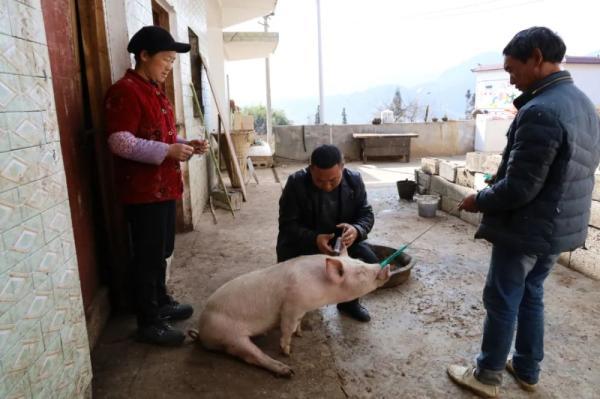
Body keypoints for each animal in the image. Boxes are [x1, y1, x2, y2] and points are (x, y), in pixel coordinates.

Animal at [189, 256, 394, 378]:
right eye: (360, 272)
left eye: (359, 260)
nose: (384, 266)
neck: (323, 292)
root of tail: (202, 331)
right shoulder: (291, 305)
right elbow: (287, 326)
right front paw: (287, 350)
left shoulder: (301, 309)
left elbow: (298, 323)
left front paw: (300, 333)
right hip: (230, 334)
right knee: (253, 356)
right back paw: (287, 371)